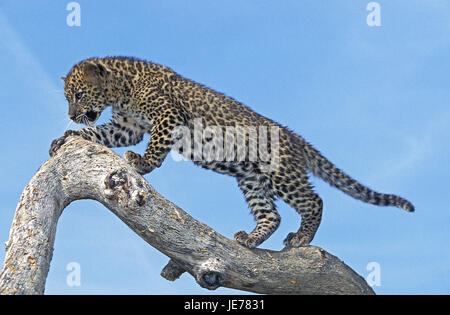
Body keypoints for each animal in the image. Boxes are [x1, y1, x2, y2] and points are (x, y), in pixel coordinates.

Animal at [50, 56, 414, 249]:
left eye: (78, 95)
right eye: (69, 98)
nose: (71, 114)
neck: (121, 89)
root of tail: (294, 137)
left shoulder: (168, 117)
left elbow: (155, 147)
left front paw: (142, 163)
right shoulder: (127, 127)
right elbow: (101, 133)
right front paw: (69, 136)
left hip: (280, 171)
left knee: (314, 201)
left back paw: (300, 238)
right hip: (251, 178)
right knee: (272, 215)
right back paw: (250, 238)